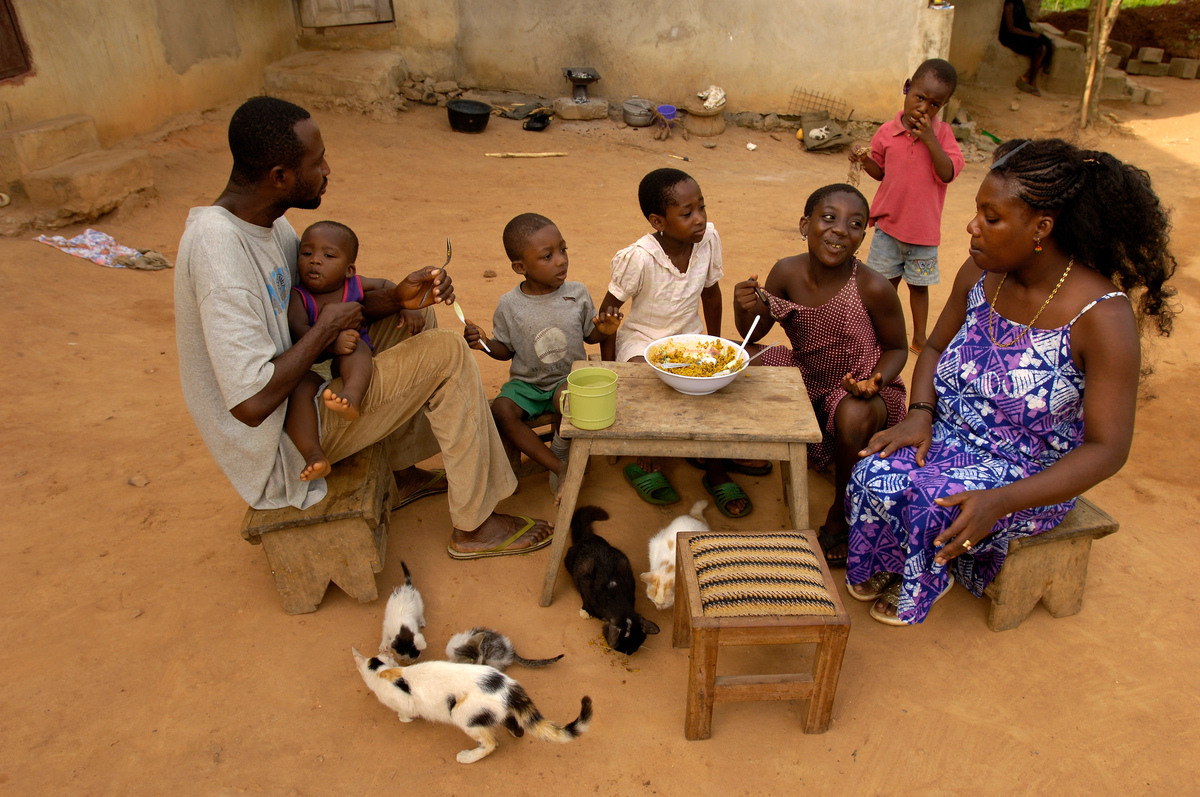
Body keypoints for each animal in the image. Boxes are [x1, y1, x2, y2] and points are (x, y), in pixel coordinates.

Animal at [350, 652, 592, 763]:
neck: (383, 673)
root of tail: (508, 685)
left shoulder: (404, 701)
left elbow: (405, 712)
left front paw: (404, 718)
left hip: (461, 713)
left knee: (492, 743)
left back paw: (469, 756)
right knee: (515, 725)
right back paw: (514, 732)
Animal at [561, 506, 657, 657]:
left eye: (636, 645)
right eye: (623, 648)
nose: (629, 653)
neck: (615, 596)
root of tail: (586, 538)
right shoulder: (585, 579)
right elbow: (585, 597)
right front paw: (585, 611)